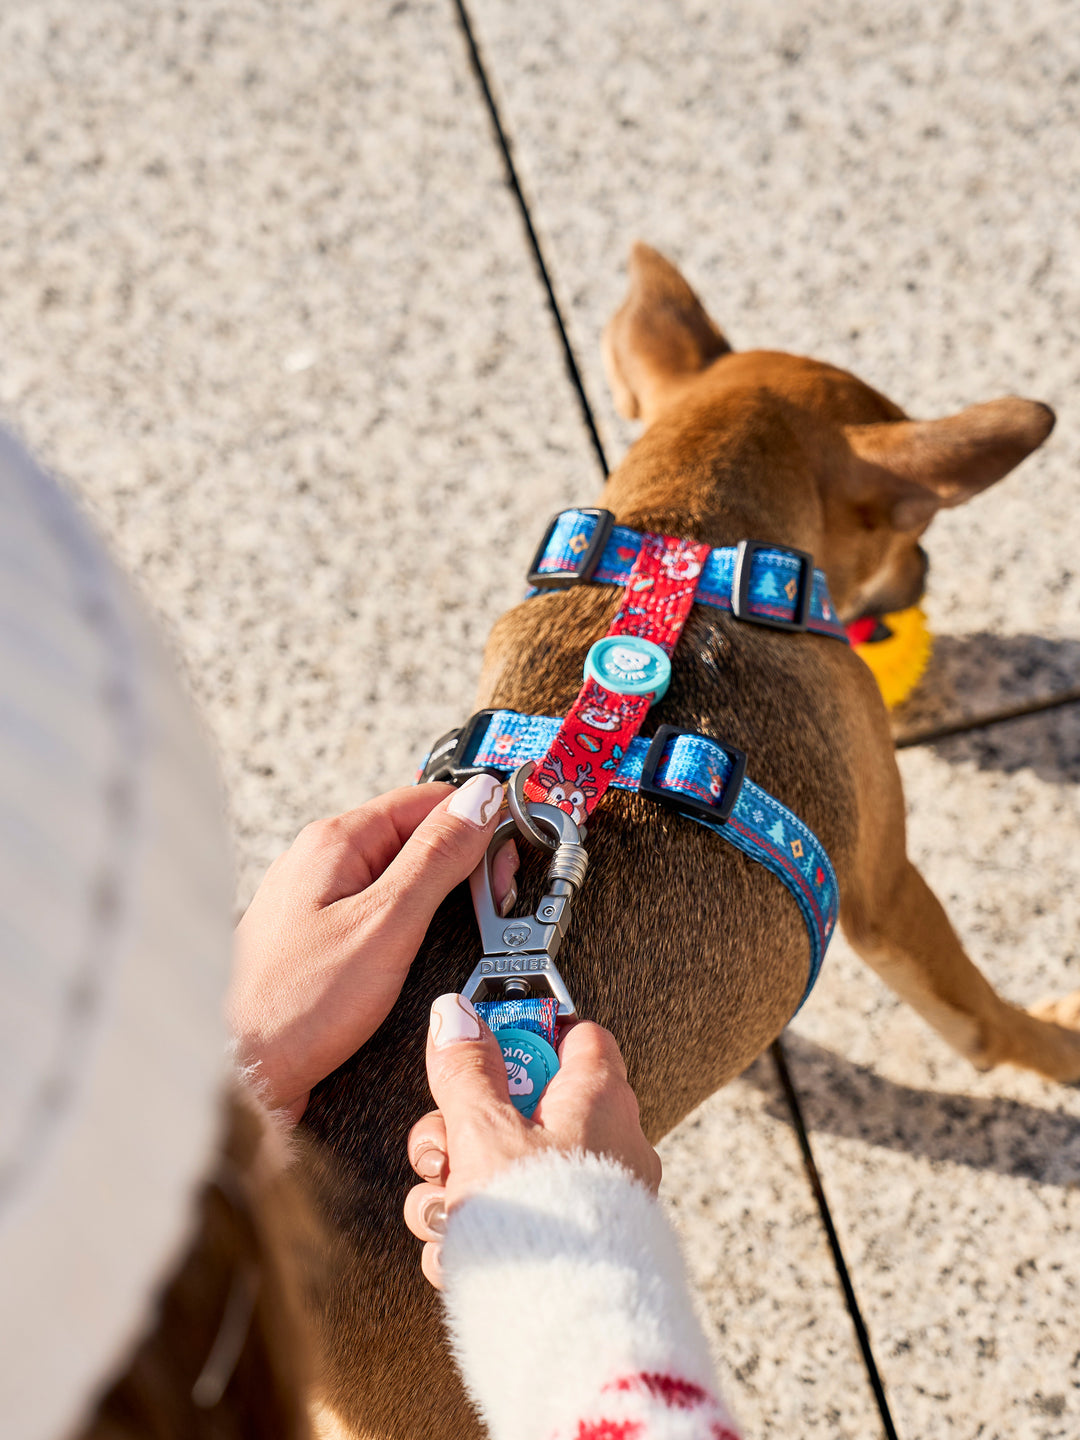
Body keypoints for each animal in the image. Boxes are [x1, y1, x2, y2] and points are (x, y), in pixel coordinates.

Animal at [298, 241, 1080, 1434]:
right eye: (913, 524)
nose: (924, 585)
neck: (688, 558)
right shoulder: (891, 892)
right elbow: (984, 1022)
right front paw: (1063, 1048)